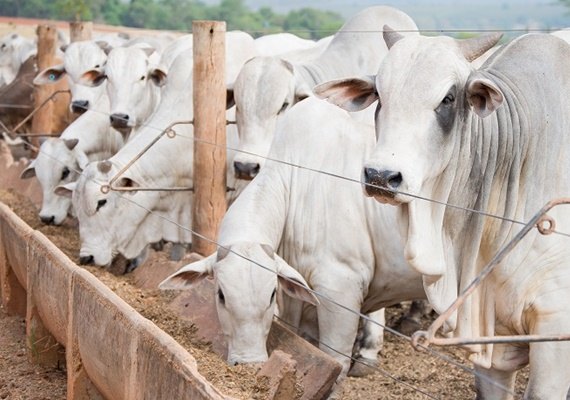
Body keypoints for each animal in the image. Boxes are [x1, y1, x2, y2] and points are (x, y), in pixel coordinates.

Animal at [158, 95, 424, 382]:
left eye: (272, 295)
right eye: (221, 296)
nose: (249, 363)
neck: (295, 181)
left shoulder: (341, 286)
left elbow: (337, 362)